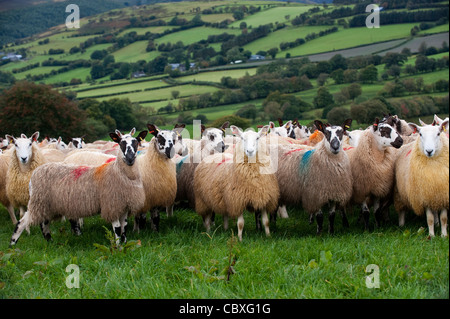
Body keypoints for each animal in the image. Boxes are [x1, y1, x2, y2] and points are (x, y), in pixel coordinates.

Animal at [10, 130, 148, 248]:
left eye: (136, 142)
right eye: (121, 143)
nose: (130, 158)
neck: (118, 171)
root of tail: (33, 176)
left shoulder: (123, 205)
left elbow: (124, 227)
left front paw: (125, 243)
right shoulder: (111, 204)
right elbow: (118, 229)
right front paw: (118, 247)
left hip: (46, 203)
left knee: (44, 222)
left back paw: (49, 241)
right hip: (38, 201)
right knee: (22, 222)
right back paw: (12, 245)